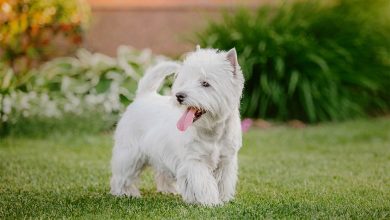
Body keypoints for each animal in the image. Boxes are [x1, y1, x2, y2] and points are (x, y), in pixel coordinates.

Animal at [109, 46, 244, 206]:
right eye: (185, 81)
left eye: (205, 83)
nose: (179, 95)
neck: (213, 133)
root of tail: (143, 96)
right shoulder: (194, 161)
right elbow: (204, 183)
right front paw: (211, 202)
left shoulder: (226, 161)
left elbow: (223, 182)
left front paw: (223, 199)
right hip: (130, 153)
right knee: (123, 174)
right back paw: (125, 193)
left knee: (162, 172)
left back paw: (169, 190)